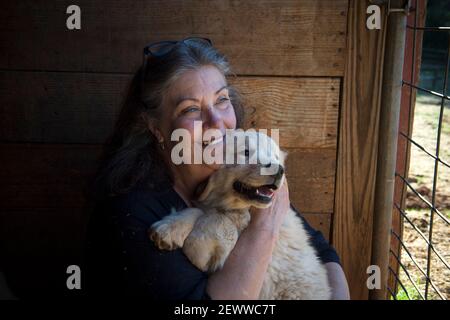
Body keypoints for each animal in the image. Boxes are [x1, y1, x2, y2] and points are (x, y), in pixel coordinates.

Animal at [149, 131, 328, 300]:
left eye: (276, 157)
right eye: (246, 152)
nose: (279, 170)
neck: (242, 209)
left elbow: (213, 217)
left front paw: (197, 246)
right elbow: (200, 210)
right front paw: (169, 228)